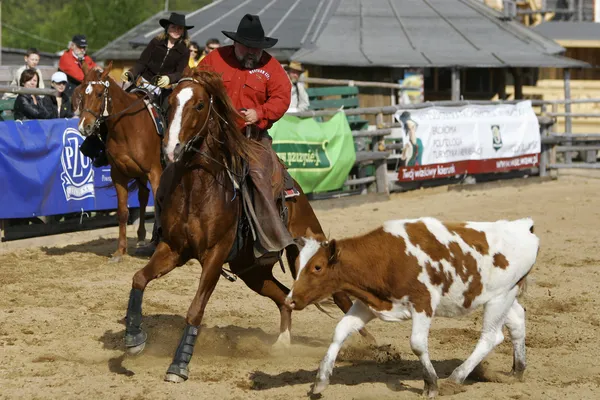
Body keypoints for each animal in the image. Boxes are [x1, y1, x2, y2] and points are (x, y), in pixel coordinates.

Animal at [76, 63, 163, 262]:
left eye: (100, 93)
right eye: (82, 93)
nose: (85, 127)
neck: (129, 127)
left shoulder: (155, 172)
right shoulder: (119, 174)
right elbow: (123, 212)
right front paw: (120, 251)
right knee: (143, 196)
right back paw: (141, 238)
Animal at [122, 67, 372, 382]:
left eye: (200, 105)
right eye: (170, 104)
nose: (171, 148)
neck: (198, 189)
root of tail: (295, 189)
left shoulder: (215, 256)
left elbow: (195, 310)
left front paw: (178, 365)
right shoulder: (173, 249)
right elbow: (139, 279)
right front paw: (133, 338)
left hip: (304, 252)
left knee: (340, 295)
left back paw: (374, 345)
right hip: (251, 271)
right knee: (283, 297)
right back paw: (283, 343)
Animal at [284, 217, 540, 398]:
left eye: (317, 267)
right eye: (297, 263)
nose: (290, 300)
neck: (385, 257)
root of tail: (524, 227)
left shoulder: (422, 303)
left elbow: (417, 344)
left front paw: (431, 384)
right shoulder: (367, 304)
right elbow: (340, 331)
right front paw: (320, 380)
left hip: (500, 298)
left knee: (491, 336)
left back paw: (455, 378)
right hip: (501, 296)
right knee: (517, 320)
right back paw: (517, 371)